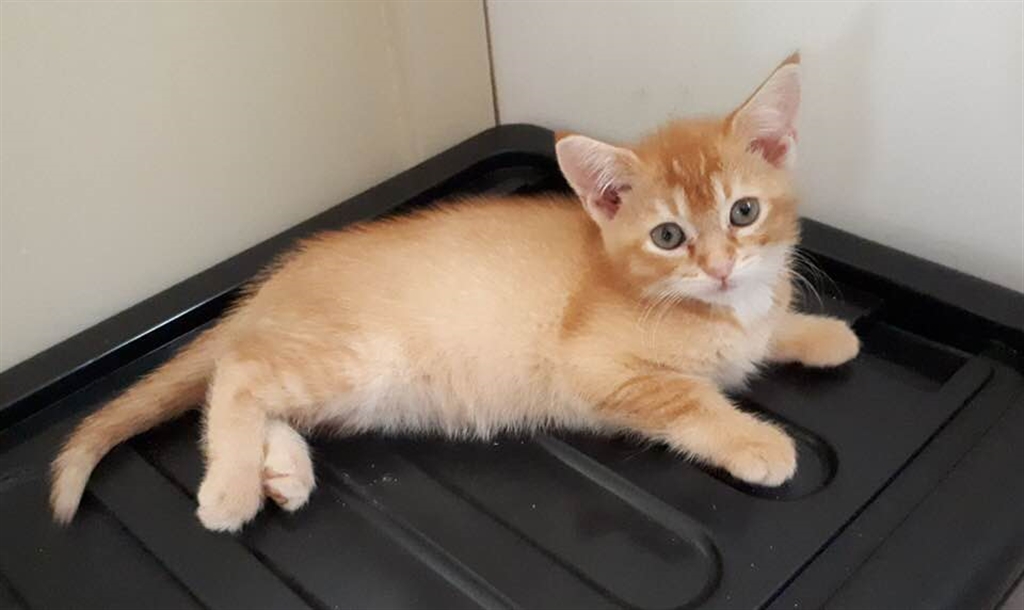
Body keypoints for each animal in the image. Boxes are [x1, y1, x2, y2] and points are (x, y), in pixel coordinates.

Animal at [50, 53, 859, 533]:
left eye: (743, 212)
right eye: (667, 236)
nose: (720, 265)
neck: (717, 309)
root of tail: (280, 276)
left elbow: (772, 328)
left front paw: (820, 332)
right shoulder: (595, 367)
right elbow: (690, 401)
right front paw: (755, 441)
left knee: (254, 378)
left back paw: (279, 466)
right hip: (353, 358)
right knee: (238, 373)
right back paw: (229, 488)